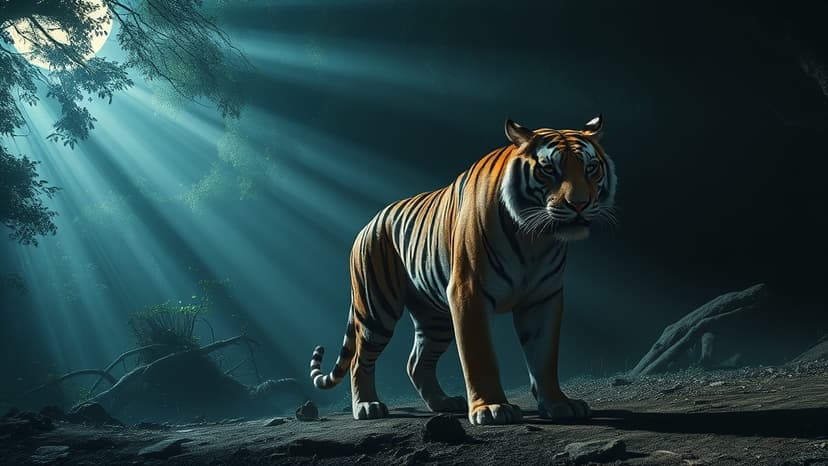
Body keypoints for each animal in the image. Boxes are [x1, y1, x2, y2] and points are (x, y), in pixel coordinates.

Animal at [309, 116, 617, 425]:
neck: (535, 238)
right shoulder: (469, 292)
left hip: (435, 319)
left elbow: (544, 357)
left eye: (591, 168)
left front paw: (558, 404)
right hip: (377, 309)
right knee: (360, 359)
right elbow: (479, 356)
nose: (579, 205)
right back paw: (367, 406)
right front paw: (491, 408)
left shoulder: (543, 297)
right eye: (548, 169)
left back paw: (443, 402)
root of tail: (368, 223)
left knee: (416, 363)